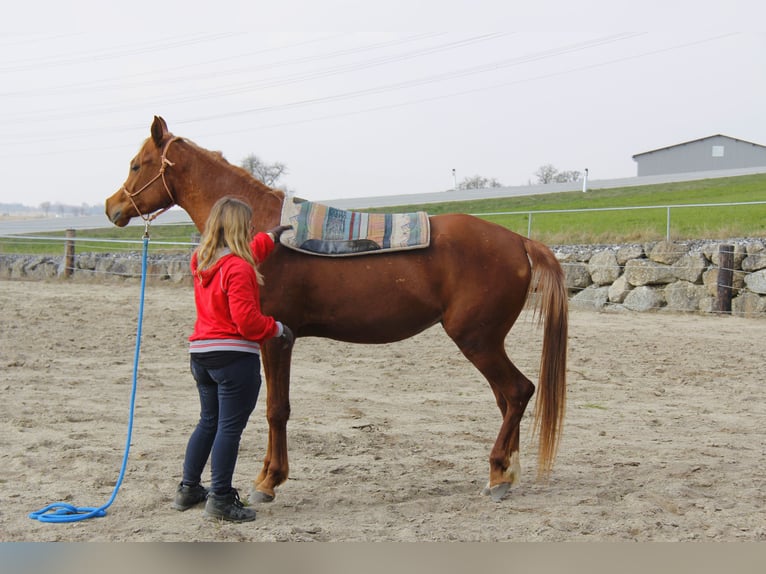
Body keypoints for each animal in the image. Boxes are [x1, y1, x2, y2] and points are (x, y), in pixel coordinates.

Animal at [105, 116, 568, 503]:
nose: (112, 208)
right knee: (508, 400)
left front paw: (268, 482)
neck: (259, 231)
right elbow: (276, 409)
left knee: (517, 392)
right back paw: (505, 473)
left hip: (477, 340)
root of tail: (519, 241)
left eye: (137, 164)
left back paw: (497, 472)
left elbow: (276, 410)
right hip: (486, 343)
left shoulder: (276, 340)